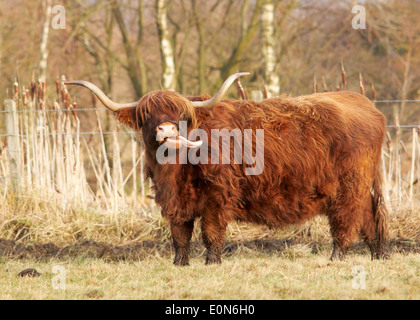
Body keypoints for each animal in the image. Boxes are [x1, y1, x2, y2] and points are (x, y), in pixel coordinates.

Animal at [65, 72, 390, 264]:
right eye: (147, 115)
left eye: (181, 115)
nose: (167, 129)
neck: (175, 171)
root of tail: (366, 105)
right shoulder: (174, 200)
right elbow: (179, 235)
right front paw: (180, 264)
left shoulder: (217, 196)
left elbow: (210, 233)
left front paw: (212, 263)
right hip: (361, 187)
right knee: (369, 219)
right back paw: (379, 255)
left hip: (348, 187)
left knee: (346, 221)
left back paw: (336, 258)